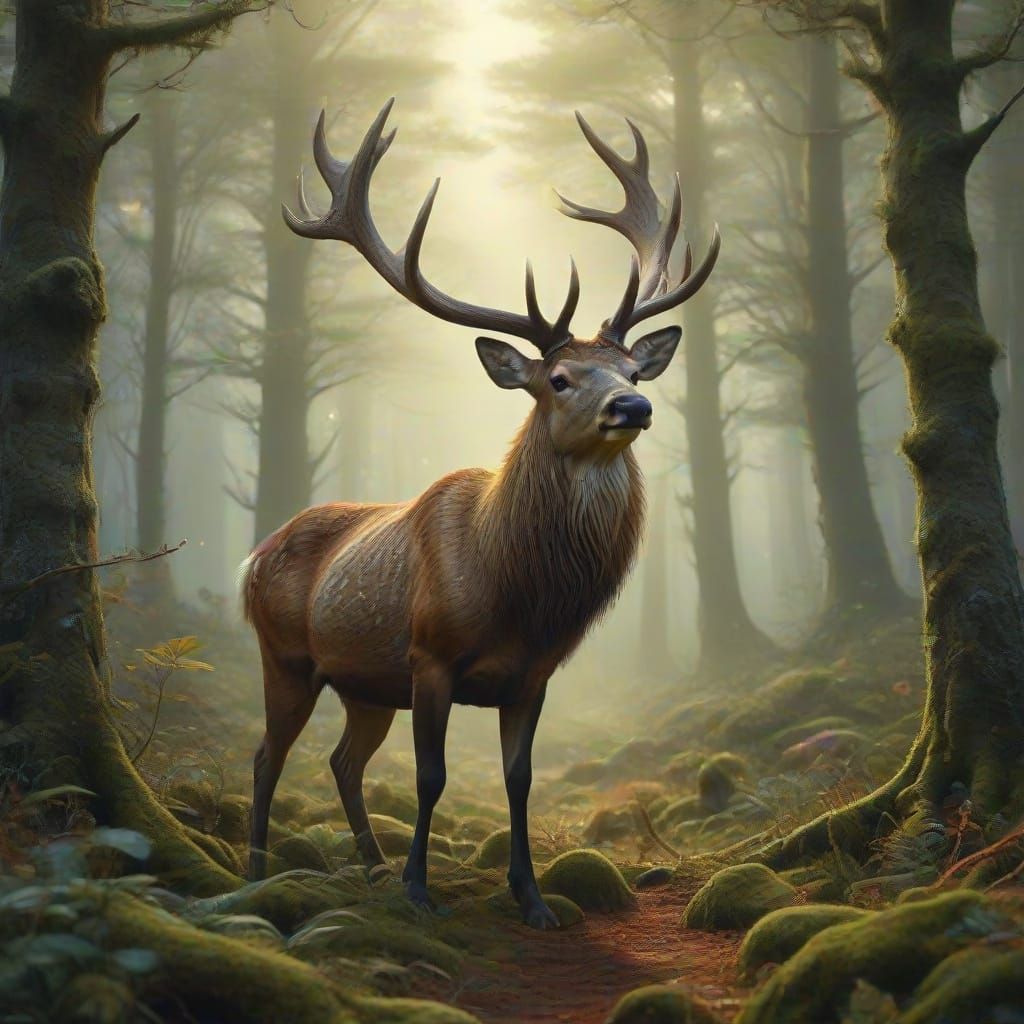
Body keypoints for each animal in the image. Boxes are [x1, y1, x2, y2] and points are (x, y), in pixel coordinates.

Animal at [241, 99, 719, 928]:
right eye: (559, 378)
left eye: (633, 370)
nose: (633, 407)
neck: (517, 593)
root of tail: (250, 559)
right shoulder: (430, 655)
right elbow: (430, 776)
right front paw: (418, 889)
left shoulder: (534, 673)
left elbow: (518, 780)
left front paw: (531, 897)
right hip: (287, 655)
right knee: (270, 755)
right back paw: (262, 867)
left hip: (364, 682)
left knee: (342, 760)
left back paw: (367, 866)